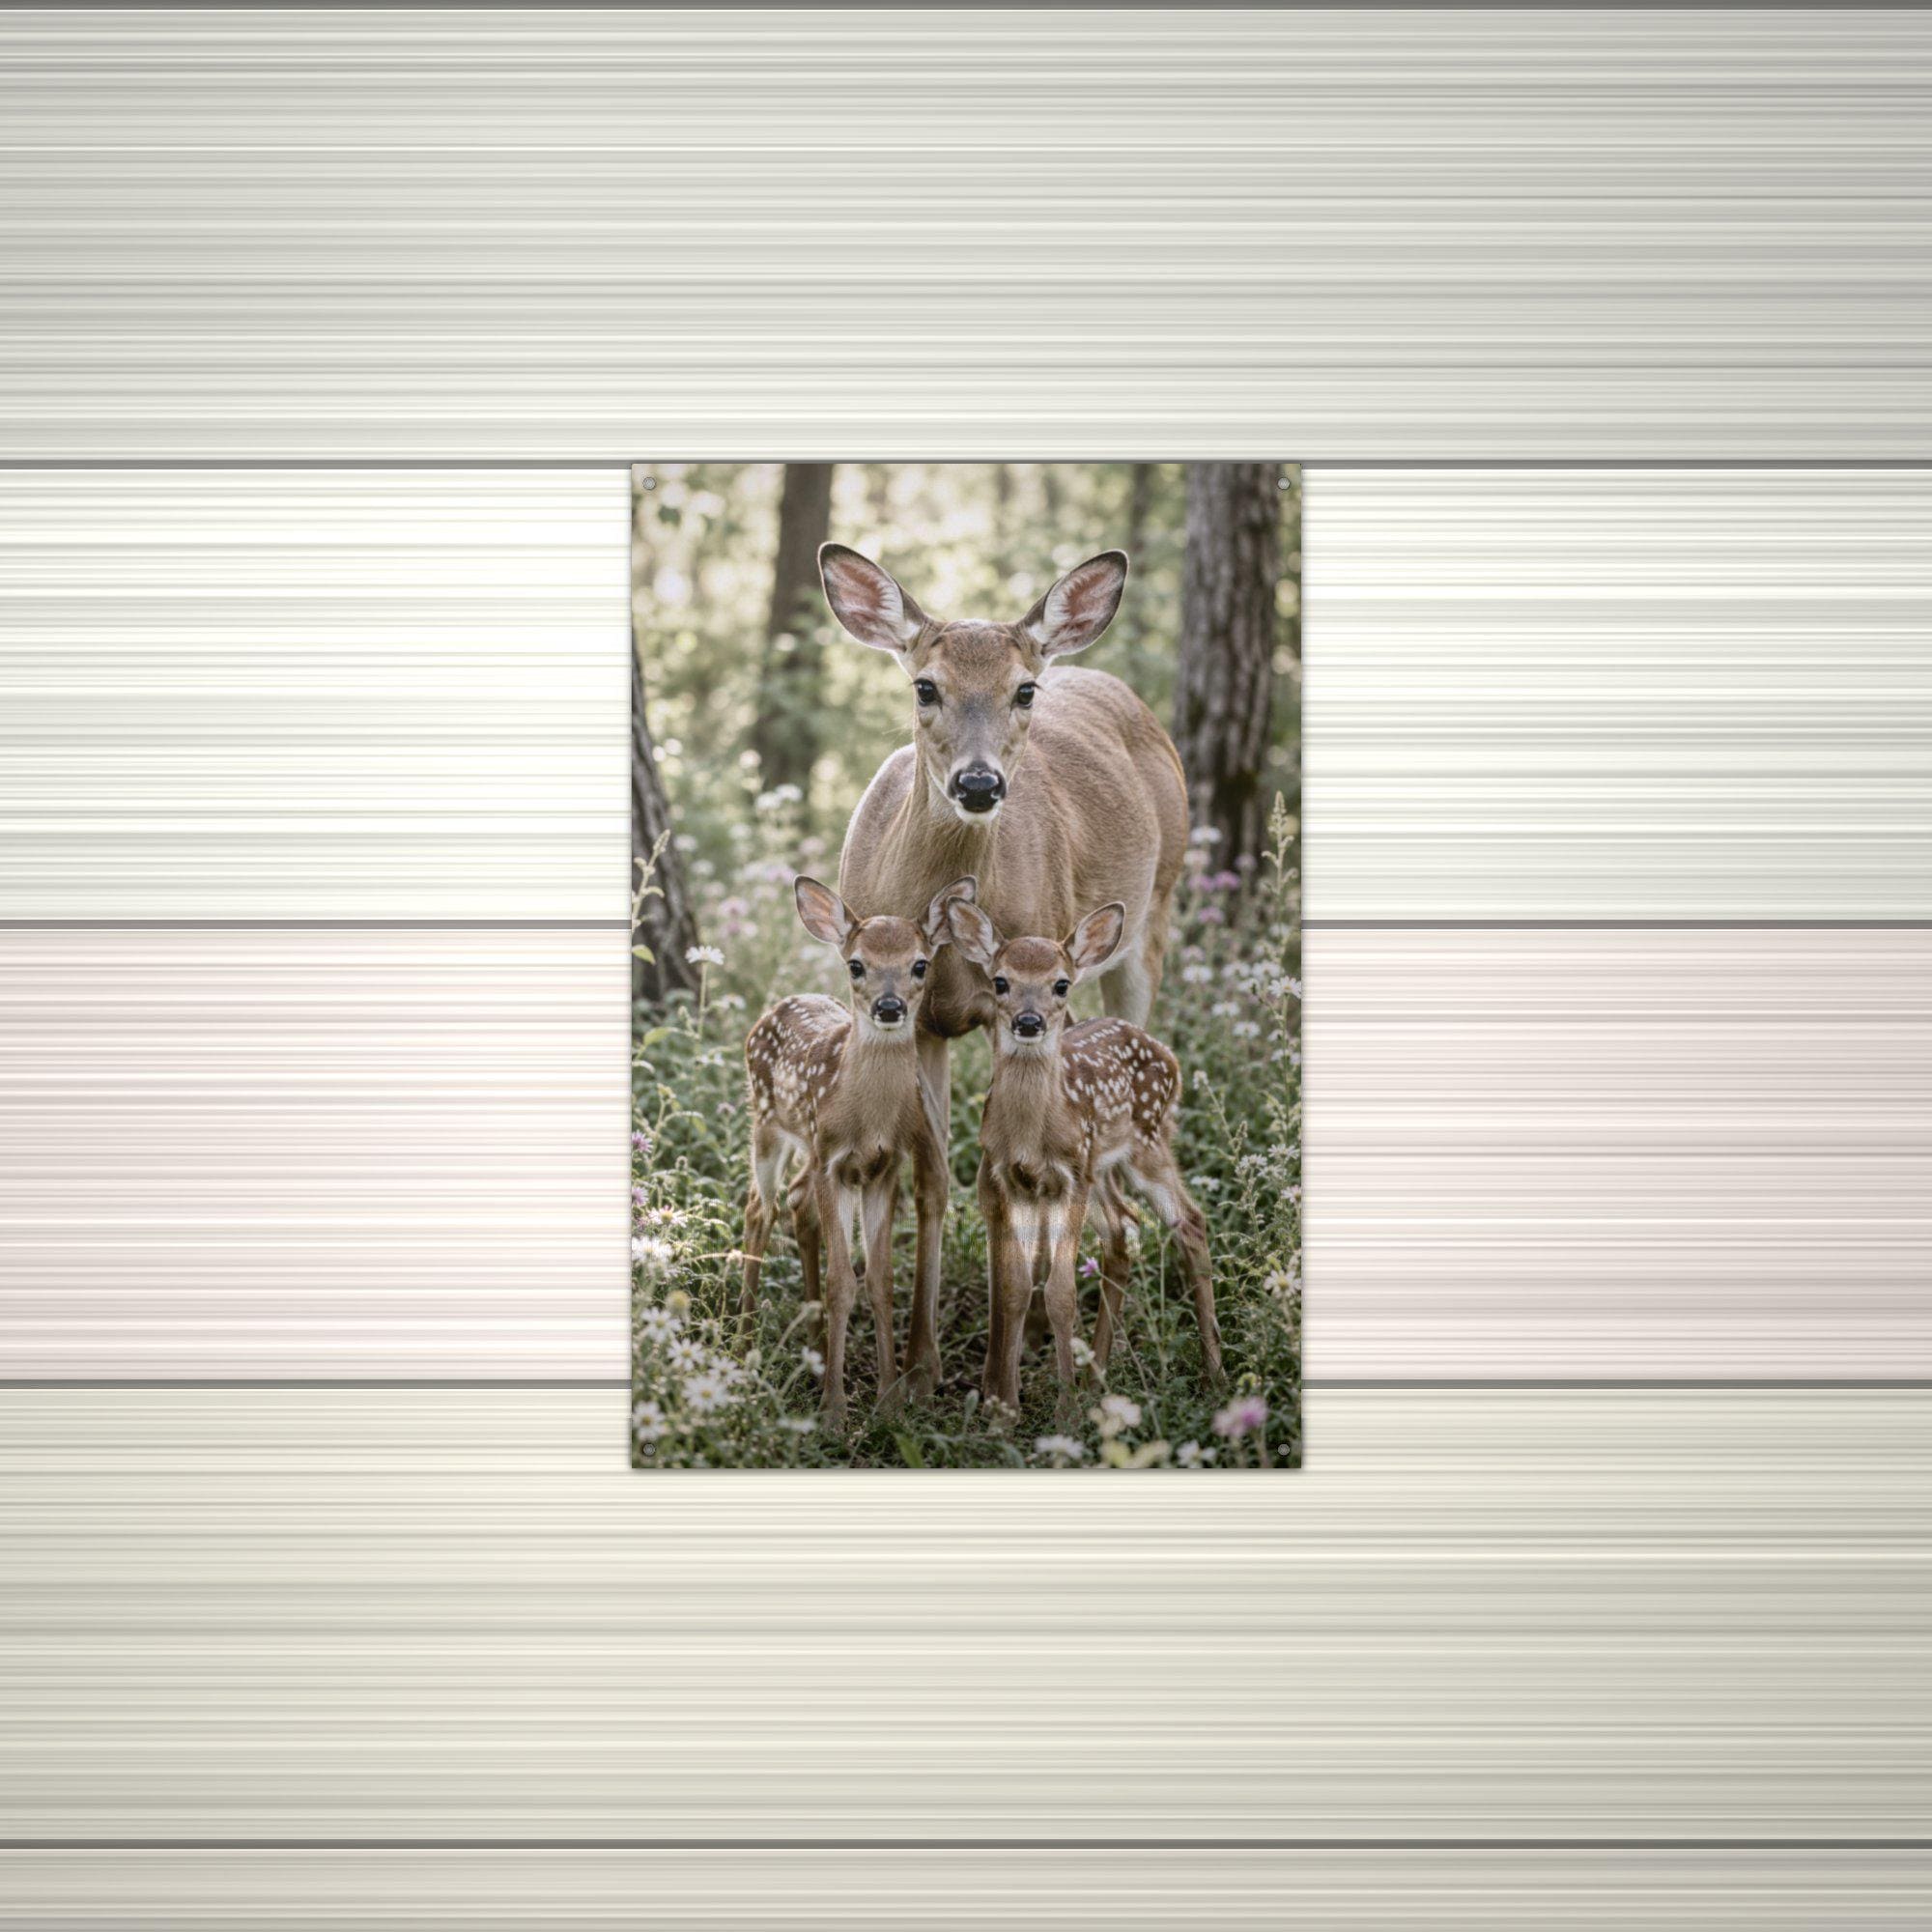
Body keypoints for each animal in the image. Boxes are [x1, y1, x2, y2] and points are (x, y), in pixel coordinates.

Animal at [739, 873, 974, 1430]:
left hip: (806, 1145)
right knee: (759, 1208)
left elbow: (881, 1280)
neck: (866, 1118)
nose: (888, 1008)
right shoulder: (833, 1163)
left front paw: (888, 1401)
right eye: (856, 964)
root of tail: (777, 1005)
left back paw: (814, 1346)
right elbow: (842, 1281)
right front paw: (833, 1411)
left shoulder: (881, 1168)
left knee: (795, 1203)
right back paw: (741, 1344)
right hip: (768, 1125)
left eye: (920, 964)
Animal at [820, 543, 1190, 1401]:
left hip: (1151, 919)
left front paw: (996, 1373)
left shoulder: (1007, 1006)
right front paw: (917, 1371)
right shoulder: (917, 1018)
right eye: (925, 685)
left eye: (1023, 690)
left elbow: (997, 1187)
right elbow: (934, 1182)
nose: (980, 784)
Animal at [945, 896, 1224, 1420]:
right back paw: (1098, 1376)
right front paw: (1005, 1411)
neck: (1031, 1134)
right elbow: (1015, 1289)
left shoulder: (1068, 1178)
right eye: (1000, 981)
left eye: (1061, 984)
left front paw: (1065, 1411)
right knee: (1123, 1228)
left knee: (1190, 1221)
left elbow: (1060, 1292)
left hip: (1145, 1144)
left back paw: (1214, 1374)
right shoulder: (1012, 1180)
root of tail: (1169, 1055)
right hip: (1100, 1171)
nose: (1028, 1022)